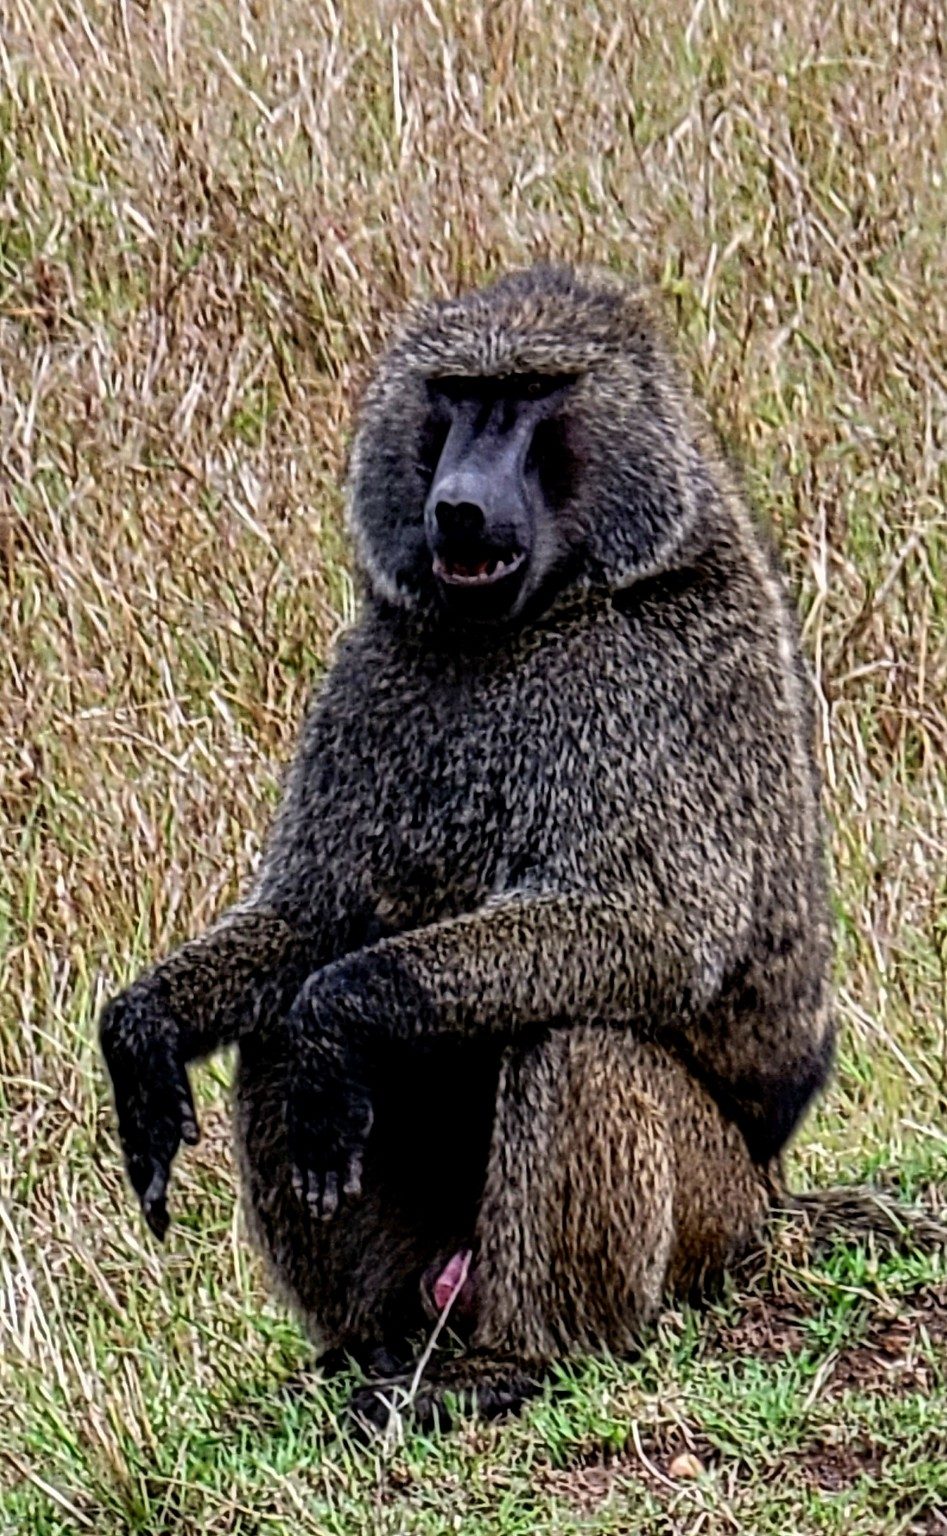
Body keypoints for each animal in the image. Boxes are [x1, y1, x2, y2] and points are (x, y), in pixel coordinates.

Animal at [99, 262, 837, 1432]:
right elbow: (309, 916)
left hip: (714, 1217)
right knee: (272, 1036)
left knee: (574, 1038)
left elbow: (651, 934)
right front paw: (145, 1031)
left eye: (527, 395)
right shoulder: (368, 673)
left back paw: (519, 1359)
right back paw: (367, 1349)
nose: (456, 503)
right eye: (453, 396)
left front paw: (338, 1013)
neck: (546, 610)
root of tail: (774, 1200)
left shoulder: (653, 680)